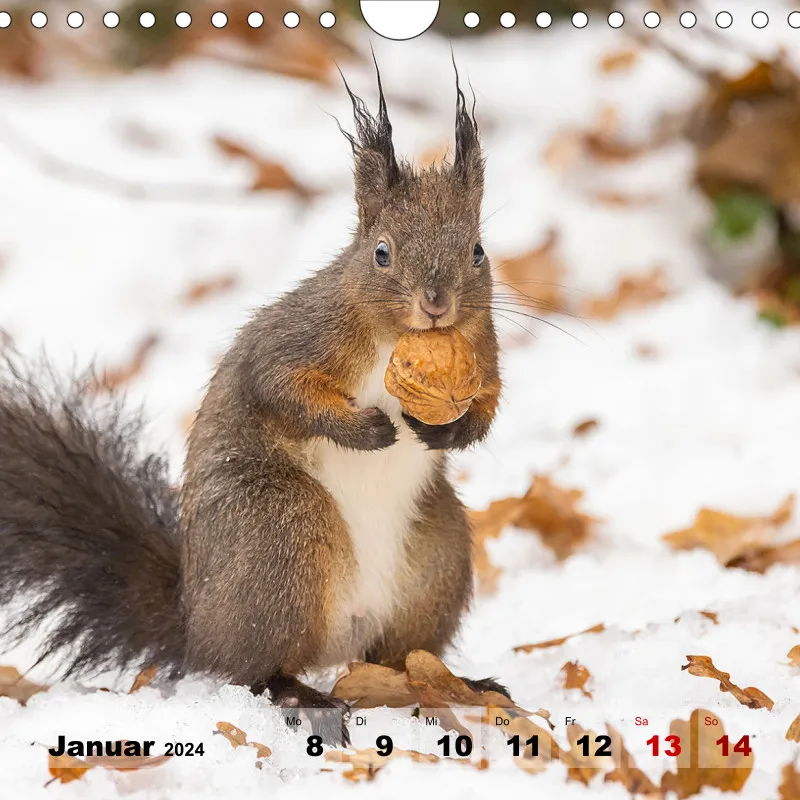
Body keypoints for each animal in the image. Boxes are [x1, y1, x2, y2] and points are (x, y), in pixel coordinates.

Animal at [0, 66, 504, 745]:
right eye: (381, 252)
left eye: (477, 251)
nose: (436, 303)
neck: (396, 340)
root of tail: (199, 623)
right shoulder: (298, 336)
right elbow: (278, 386)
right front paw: (363, 429)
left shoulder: (482, 346)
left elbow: (492, 395)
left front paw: (450, 432)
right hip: (280, 534)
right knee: (253, 669)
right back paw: (301, 696)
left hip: (436, 556)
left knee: (399, 655)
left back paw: (454, 685)